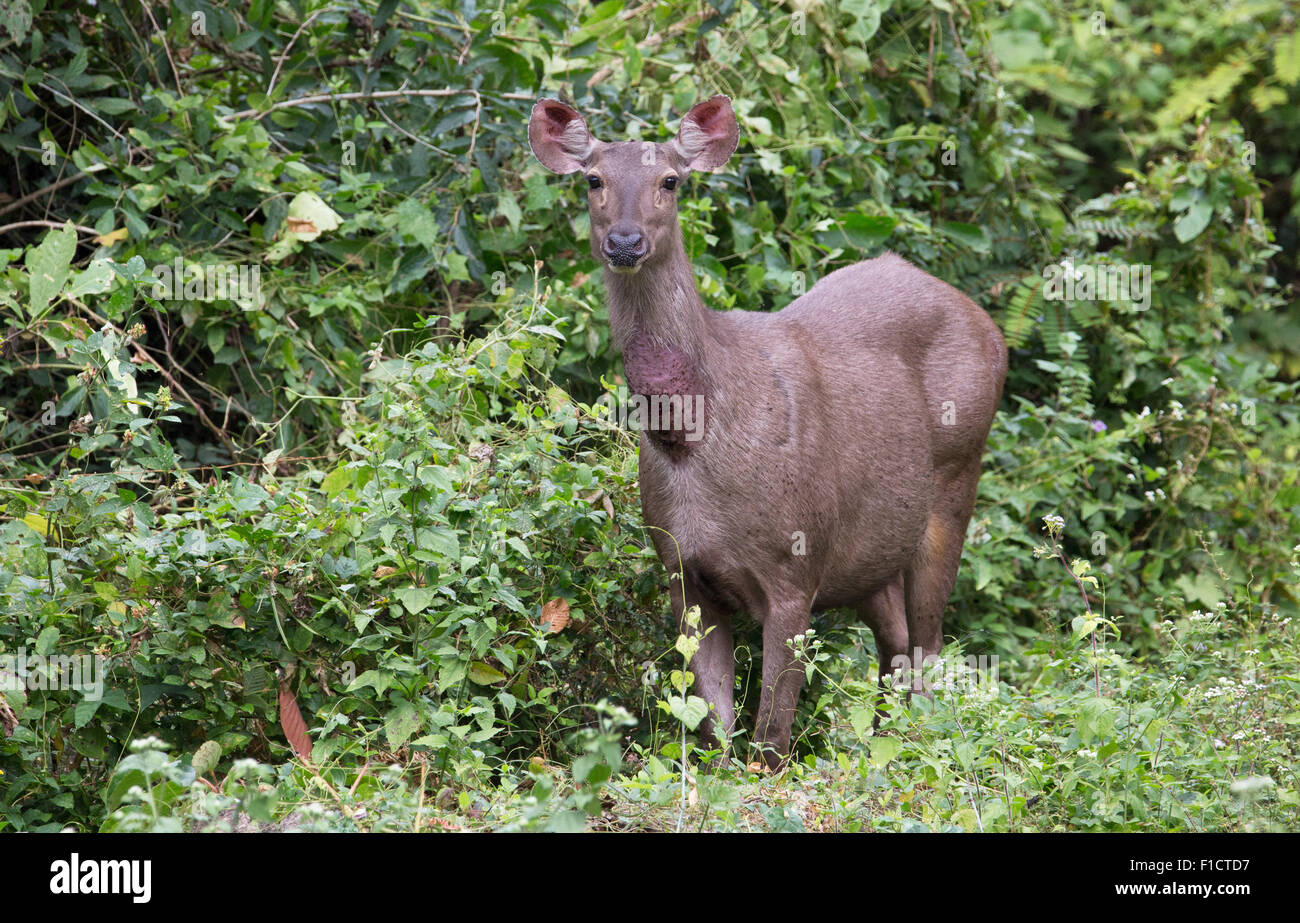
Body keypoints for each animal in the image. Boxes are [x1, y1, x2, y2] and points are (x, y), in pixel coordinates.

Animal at [527, 95, 1003, 774]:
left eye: (670, 181)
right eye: (593, 180)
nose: (624, 240)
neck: (696, 443)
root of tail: (989, 325)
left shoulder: (795, 564)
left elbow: (771, 741)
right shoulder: (683, 572)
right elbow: (714, 729)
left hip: (955, 478)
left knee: (929, 644)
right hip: (871, 545)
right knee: (896, 641)